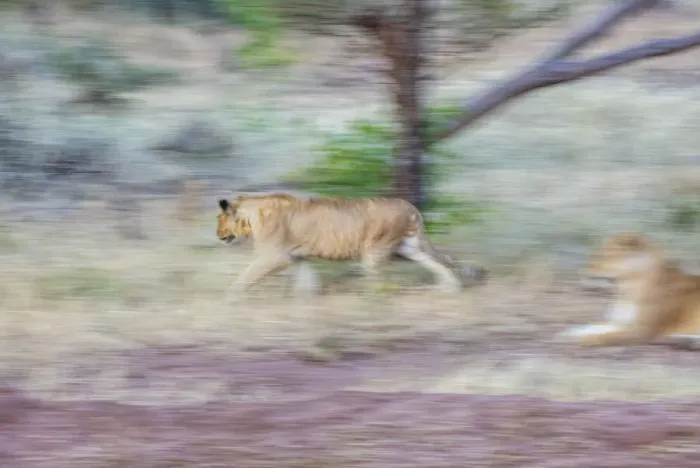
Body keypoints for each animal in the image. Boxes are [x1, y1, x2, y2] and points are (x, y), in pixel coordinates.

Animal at [216, 193, 487, 295]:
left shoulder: (274, 257)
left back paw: (369, 302)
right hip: (409, 246)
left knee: (381, 282)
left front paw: (229, 300)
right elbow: (306, 283)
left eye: (219, 219)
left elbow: (245, 277)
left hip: (375, 251)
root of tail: (410, 207)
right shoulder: (296, 256)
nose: (217, 235)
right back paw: (450, 287)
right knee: (437, 262)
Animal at [559, 232, 700, 348]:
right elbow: (590, 327)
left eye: (603, 255)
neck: (625, 289)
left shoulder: (643, 330)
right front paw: (566, 334)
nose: (581, 271)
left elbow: (606, 336)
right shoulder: (619, 322)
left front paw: (581, 339)